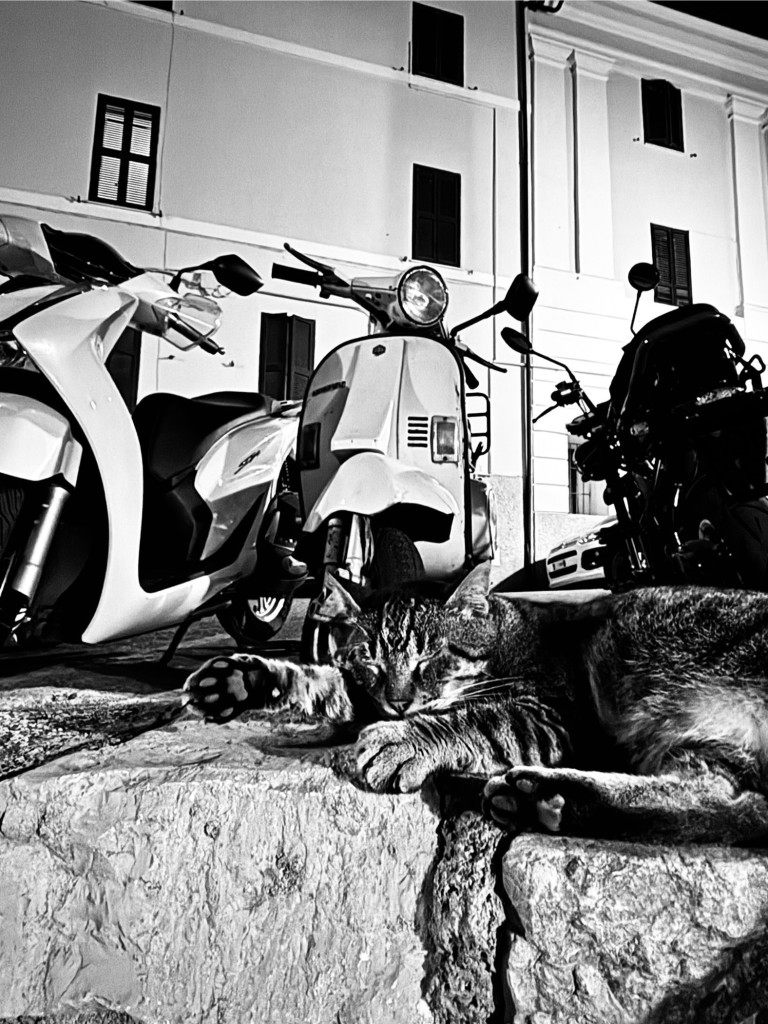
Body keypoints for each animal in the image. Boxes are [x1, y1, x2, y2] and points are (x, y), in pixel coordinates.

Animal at [185, 565, 768, 843]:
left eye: (431, 658)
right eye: (371, 659)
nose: (399, 703)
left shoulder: (549, 712)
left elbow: (472, 719)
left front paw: (405, 739)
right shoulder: (364, 692)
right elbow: (324, 682)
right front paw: (240, 679)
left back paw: (544, 794)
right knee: (726, 803)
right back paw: (552, 801)